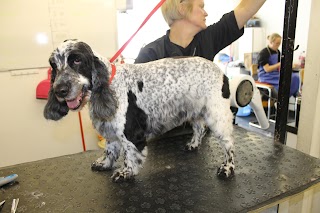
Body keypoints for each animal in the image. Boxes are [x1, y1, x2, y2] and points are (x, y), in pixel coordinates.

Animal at [43, 39, 235, 181]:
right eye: (54, 65)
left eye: (77, 60)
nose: (60, 90)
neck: (110, 84)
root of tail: (221, 72)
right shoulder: (111, 131)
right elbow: (110, 150)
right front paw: (104, 163)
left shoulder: (131, 134)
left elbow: (129, 154)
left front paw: (125, 172)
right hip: (194, 110)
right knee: (199, 128)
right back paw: (193, 144)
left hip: (217, 117)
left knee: (229, 145)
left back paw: (227, 168)